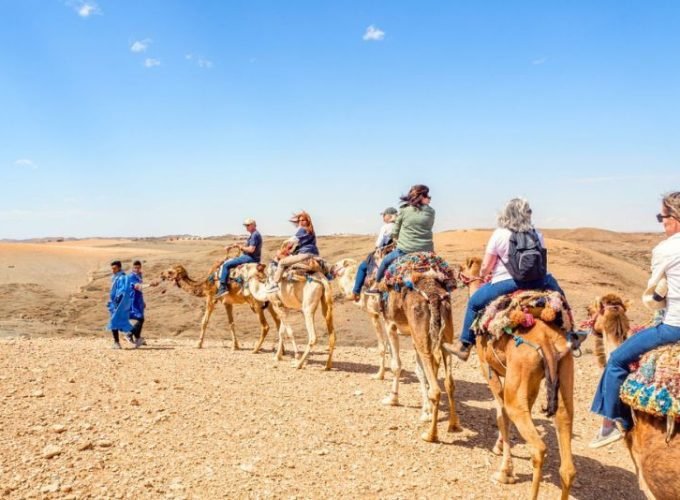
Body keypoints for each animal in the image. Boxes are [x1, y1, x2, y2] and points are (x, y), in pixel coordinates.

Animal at [460, 257, 575, 500]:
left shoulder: (488, 370)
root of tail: (547, 343)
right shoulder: (530, 382)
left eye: (463, 267)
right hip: (564, 369)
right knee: (567, 455)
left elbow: (501, 415)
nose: (457, 274)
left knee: (537, 447)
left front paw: (505, 472)